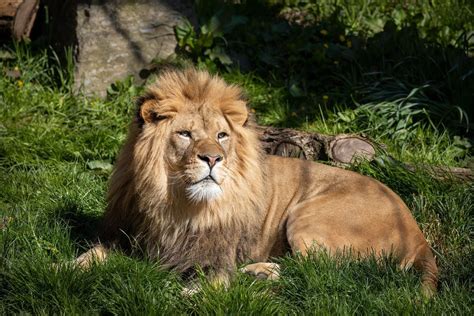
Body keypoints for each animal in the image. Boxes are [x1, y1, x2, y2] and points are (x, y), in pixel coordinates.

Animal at [76, 68, 438, 296]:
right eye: (185, 134)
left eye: (221, 136)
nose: (212, 159)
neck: (176, 203)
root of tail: (417, 234)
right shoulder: (127, 234)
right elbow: (92, 253)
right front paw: (68, 269)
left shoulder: (219, 253)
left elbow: (216, 279)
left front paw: (192, 293)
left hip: (307, 217)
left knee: (323, 271)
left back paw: (258, 272)